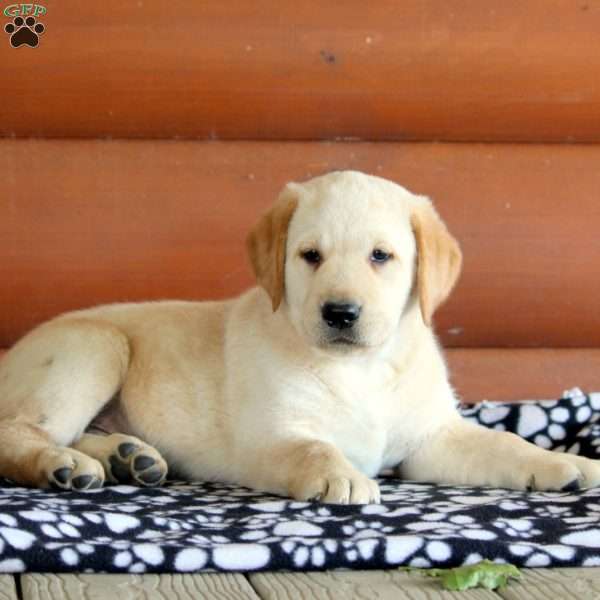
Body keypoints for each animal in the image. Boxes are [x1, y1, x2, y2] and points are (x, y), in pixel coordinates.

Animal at [1, 170, 600, 502]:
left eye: (381, 256)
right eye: (310, 255)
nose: (341, 312)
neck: (362, 370)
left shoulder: (432, 439)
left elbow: (504, 442)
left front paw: (567, 465)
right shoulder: (269, 438)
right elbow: (312, 446)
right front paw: (340, 476)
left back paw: (126, 455)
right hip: (95, 345)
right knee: (17, 431)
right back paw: (63, 465)